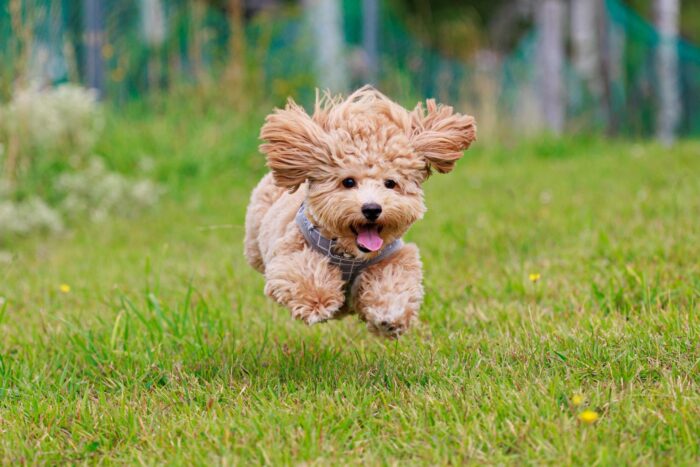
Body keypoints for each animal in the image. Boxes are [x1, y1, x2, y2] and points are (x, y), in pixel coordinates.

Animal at [245, 87, 476, 336]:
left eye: (390, 183)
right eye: (348, 181)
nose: (372, 208)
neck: (350, 255)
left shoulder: (394, 258)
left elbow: (393, 280)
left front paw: (390, 315)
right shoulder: (291, 250)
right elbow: (303, 270)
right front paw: (317, 301)